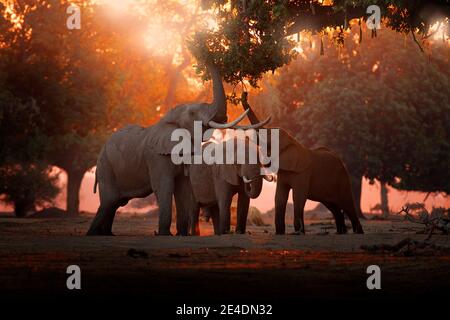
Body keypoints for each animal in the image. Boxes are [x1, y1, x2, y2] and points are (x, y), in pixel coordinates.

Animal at [85, 63, 264, 238]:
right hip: (106, 166)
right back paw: (93, 234)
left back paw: (107, 234)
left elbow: (183, 188)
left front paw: (182, 234)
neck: (168, 119)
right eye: (192, 113)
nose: (245, 93)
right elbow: (164, 186)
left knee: (115, 203)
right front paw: (165, 234)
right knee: (109, 200)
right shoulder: (156, 157)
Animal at [241, 92, 364, 235]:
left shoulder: (303, 173)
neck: (292, 141)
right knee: (333, 207)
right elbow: (279, 198)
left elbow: (298, 196)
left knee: (347, 204)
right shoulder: (284, 172)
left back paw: (358, 232)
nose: (245, 93)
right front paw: (280, 233)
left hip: (342, 178)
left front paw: (299, 233)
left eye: (269, 144)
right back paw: (341, 232)